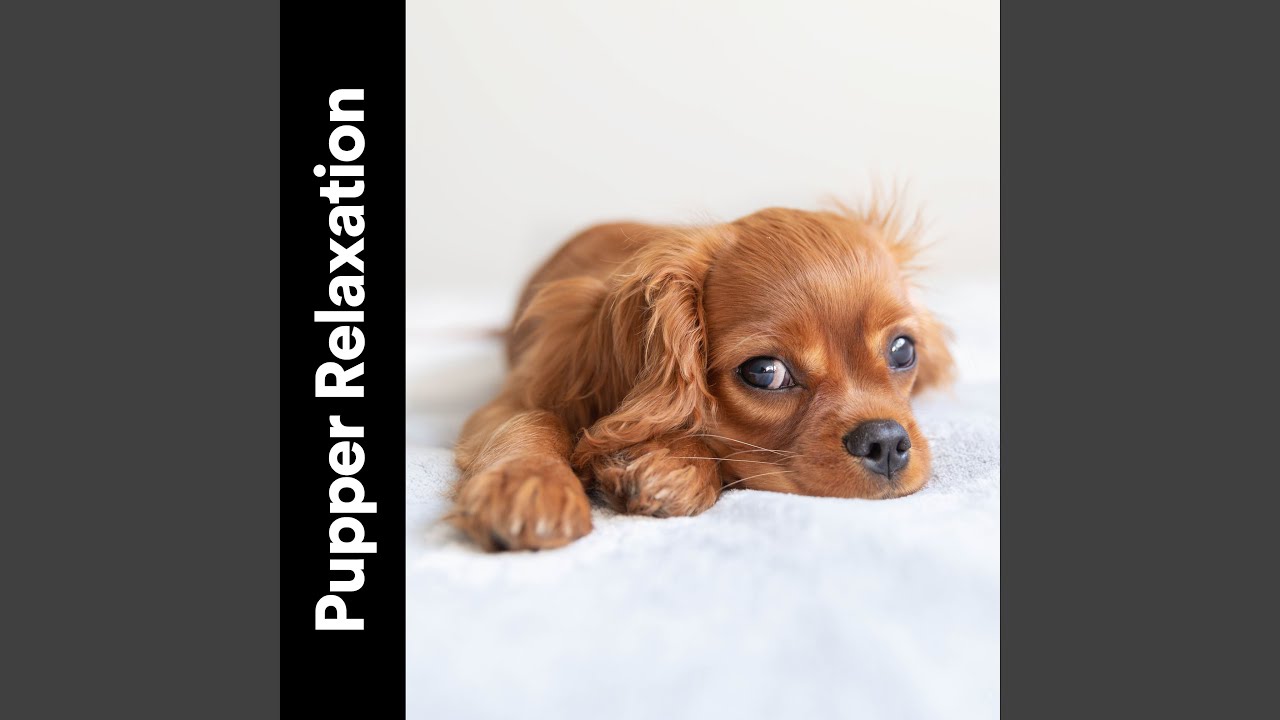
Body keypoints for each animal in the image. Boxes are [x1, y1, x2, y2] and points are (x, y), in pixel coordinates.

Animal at [448, 200, 954, 551]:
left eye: (903, 350)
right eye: (765, 373)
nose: (885, 442)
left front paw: (666, 462)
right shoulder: (515, 396)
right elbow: (533, 420)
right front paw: (529, 482)